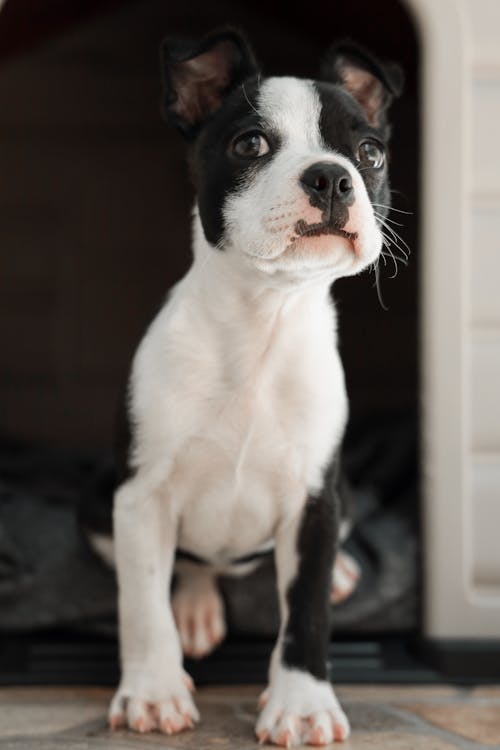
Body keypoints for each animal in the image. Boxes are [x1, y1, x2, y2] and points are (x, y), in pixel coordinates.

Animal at [104, 27, 402, 748]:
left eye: (370, 154)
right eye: (249, 146)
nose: (330, 176)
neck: (263, 318)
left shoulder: (314, 504)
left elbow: (307, 613)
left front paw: (302, 704)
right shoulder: (138, 498)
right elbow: (142, 603)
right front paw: (152, 692)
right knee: (192, 566)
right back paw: (195, 608)